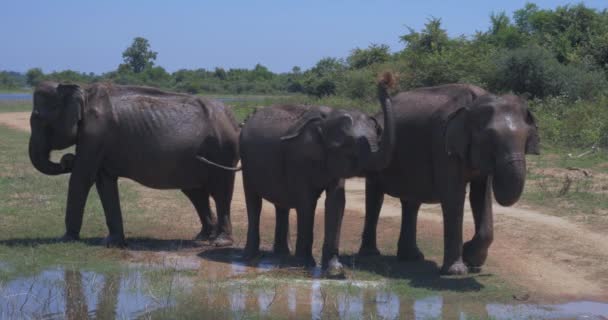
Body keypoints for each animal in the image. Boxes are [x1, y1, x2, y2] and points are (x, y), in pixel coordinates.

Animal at [29, 81, 240, 246]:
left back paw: (220, 241)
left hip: (222, 150)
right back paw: (203, 237)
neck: (82, 91)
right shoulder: (98, 141)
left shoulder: (95, 135)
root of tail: (232, 118)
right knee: (196, 192)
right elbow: (104, 183)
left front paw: (64, 239)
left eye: (37, 118)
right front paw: (112, 243)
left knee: (220, 192)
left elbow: (82, 178)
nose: (67, 159)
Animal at [240, 74, 396, 276]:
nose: (385, 80)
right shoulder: (298, 157)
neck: (324, 121)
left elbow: (336, 202)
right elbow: (306, 202)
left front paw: (335, 271)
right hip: (246, 161)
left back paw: (282, 254)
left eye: (377, 136)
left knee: (281, 204)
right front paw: (304, 265)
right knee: (254, 202)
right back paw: (249, 257)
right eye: (347, 146)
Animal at [358, 83, 540, 276]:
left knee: (411, 202)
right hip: (373, 150)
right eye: (490, 138)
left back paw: (412, 257)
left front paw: (472, 261)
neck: (474, 103)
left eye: (527, 137)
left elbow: (481, 196)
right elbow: (454, 196)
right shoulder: (442, 142)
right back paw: (371, 255)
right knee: (375, 197)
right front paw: (457, 271)